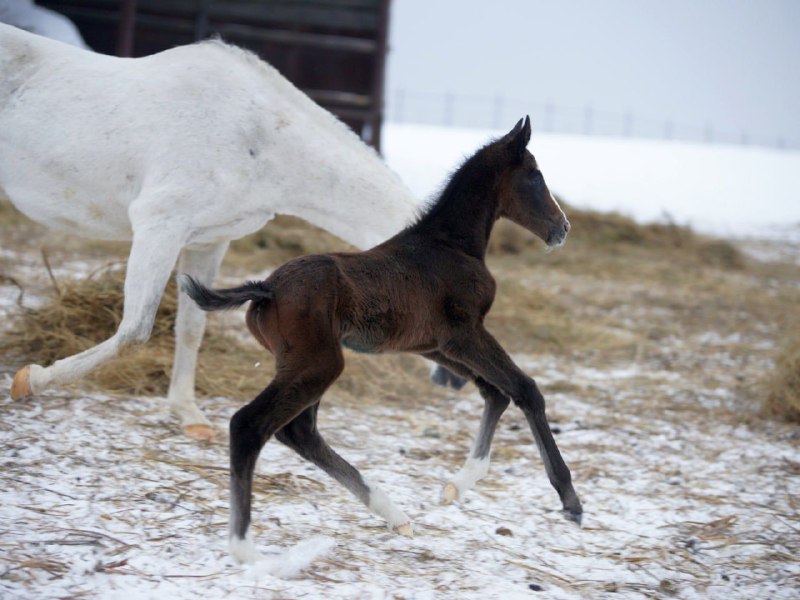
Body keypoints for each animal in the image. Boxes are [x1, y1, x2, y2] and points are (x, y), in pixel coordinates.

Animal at [0, 24, 422, 440]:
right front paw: (29, 380)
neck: (260, 137)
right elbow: (133, 332)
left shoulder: (209, 241)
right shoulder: (159, 225)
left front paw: (189, 415)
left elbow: (191, 327)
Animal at [181, 117, 580, 564]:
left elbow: (495, 393)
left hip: (306, 362)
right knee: (250, 425)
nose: (562, 228)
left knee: (299, 430)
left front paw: (457, 485)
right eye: (535, 174)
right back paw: (245, 547)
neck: (450, 245)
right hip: (319, 363)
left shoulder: (438, 345)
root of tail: (266, 288)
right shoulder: (466, 333)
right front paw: (570, 500)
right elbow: (525, 390)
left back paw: (394, 515)